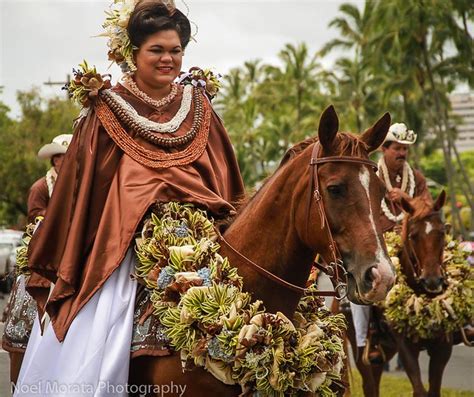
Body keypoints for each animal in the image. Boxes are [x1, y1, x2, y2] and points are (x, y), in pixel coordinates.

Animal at [342, 190, 450, 394]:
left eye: (442, 233)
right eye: (413, 236)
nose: (432, 280)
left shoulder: (442, 348)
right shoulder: (406, 347)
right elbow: (419, 390)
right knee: (370, 384)